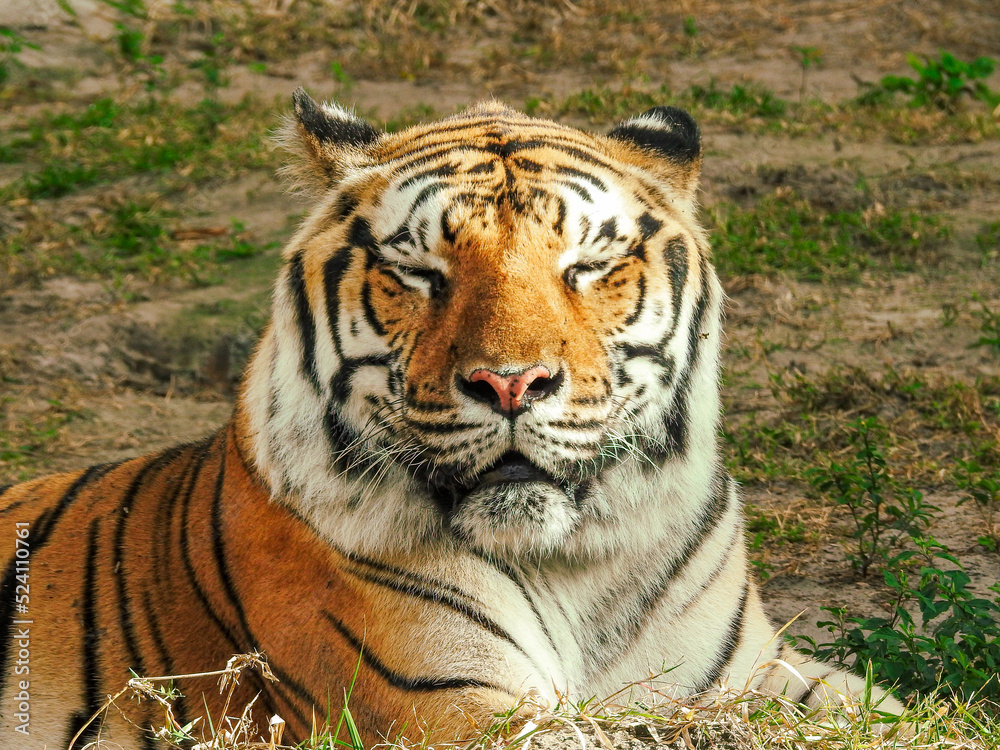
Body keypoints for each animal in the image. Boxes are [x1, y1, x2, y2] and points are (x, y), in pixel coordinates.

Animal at [0, 91, 903, 750]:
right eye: (421, 271)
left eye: (586, 266)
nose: (511, 383)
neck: (580, 566)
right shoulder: (455, 707)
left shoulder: (755, 672)